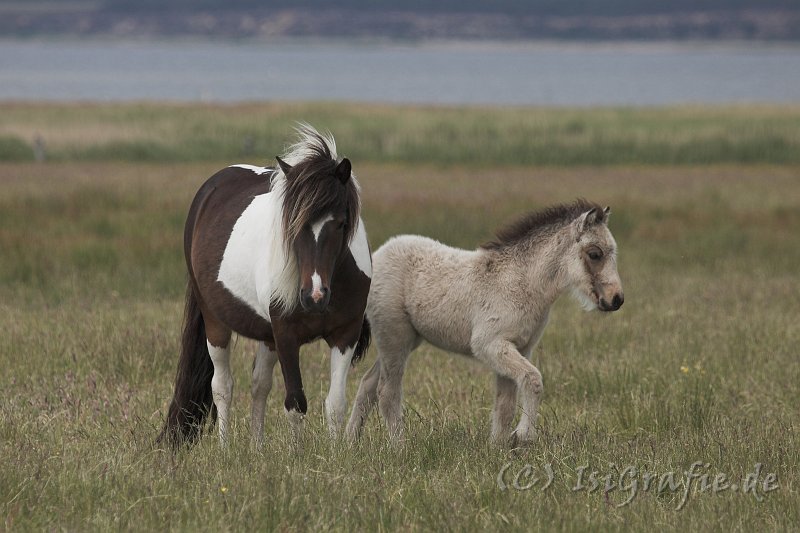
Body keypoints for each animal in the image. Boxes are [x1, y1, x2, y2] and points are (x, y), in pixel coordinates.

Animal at [159, 127, 372, 446]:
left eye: (341, 223)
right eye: (293, 223)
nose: (315, 296)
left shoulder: (345, 334)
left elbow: (335, 405)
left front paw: (336, 452)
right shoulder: (286, 335)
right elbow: (295, 403)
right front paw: (297, 453)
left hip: (266, 334)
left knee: (259, 384)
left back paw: (256, 447)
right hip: (215, 322)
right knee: (223, 386)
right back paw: (225, 447)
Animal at [346, 200, 620, 444]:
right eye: (595, 254)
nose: (616, 299)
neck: (522, 282)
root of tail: (376, 258)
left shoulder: (519, 348)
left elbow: (505, 404)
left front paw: (498, 449)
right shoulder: (489, 344)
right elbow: (533, 380)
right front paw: (524, 436)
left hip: (404, 341)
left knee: (368, 385)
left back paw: (348, 443)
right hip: (395, 336)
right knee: (387, 392)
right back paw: (399, 447)